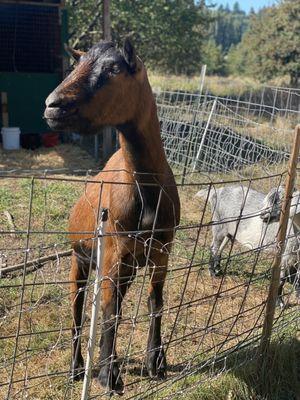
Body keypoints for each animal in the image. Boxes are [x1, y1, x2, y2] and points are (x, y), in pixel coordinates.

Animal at [44, 39, 180, 396]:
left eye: (113, 68)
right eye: (76, 66)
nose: (52, 106)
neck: (146, 189)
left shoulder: (161, 250)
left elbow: (155, 302)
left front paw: (155, 362)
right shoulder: (113, 251)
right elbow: (106, 313)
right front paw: (109, 376)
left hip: (126, 267)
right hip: (80, 259)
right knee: (78, 310)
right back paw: (77, 368)